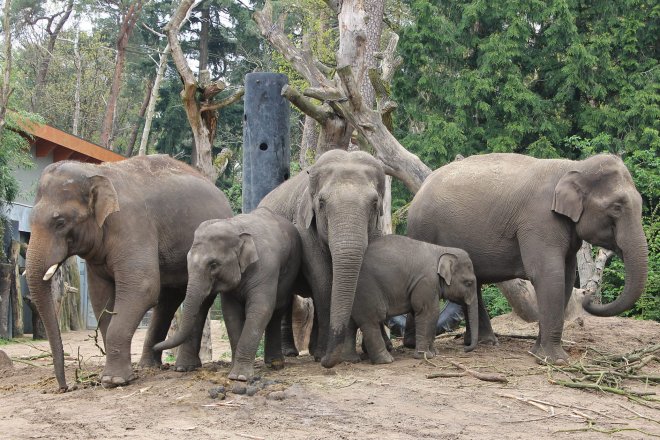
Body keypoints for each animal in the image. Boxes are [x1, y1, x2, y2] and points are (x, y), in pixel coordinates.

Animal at [24, 154, 233, 388]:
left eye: (60, 222)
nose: (66, 387)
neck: (95, 171)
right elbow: (101, 298)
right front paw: (114, 376)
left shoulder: (133, 225)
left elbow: (142, 288)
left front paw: (114, 381)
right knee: (168, 299)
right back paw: (149, 365)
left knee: (196, 299)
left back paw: (183, 367)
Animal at [153, 208, 300, 380]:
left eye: (213, 264)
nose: (156, 346)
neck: (235, 227)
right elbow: (231, 313)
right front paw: (233, 372)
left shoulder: (266, 268)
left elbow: (261, 308)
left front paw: (240, 377)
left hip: (290, 269)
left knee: (277, 309)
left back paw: (275, 364)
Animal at [256, 150, 382, 366]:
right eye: (321, 203)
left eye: (375, 203)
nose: (327, 362)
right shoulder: (304, 229)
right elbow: (322, 280)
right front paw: (324, 355)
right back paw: (292, 353)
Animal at [348, 235, 476, 362]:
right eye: (468, 283)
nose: (465, 348)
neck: (442, 250)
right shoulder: (427, 281)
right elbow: (429, 312)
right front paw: (425, 356)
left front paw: (434, 353)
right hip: (367, 290)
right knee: (372, 320)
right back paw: (386, 360)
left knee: (352, 323)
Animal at [404, 153, 648, 362]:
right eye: (616, 207)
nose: (589, 297)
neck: (574, 167)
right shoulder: (540, 221)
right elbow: (548, 275)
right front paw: (556, 360)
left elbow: (566, 278)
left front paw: (537, 352)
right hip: (423, 229)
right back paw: (414, 345)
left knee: (474, 282)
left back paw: (484, 343)